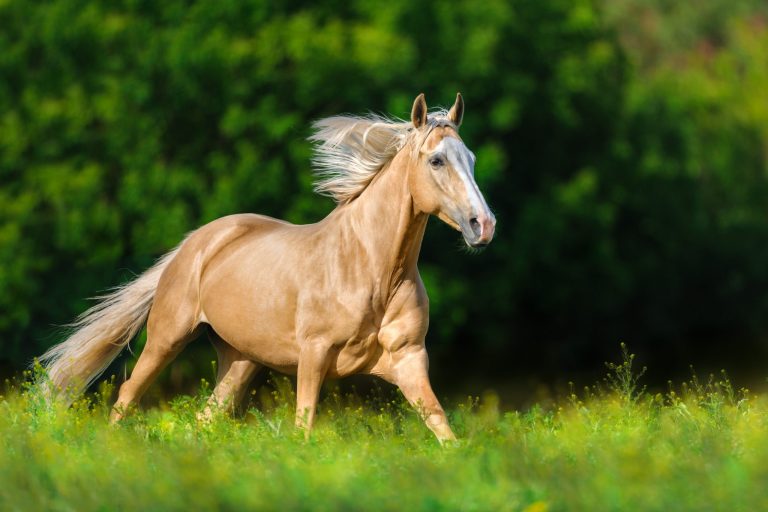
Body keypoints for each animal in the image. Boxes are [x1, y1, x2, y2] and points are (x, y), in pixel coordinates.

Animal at [39, 93, 496, 442]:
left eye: (471, 158)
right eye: (436, 161)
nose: (483, 225)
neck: (372, 270)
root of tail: (196, 242)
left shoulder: (409, 359)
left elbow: (442, 427)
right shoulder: (314, 355)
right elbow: (303, 426)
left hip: (240, 360)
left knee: (205, 417)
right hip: (167, 338)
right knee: (127, 396)